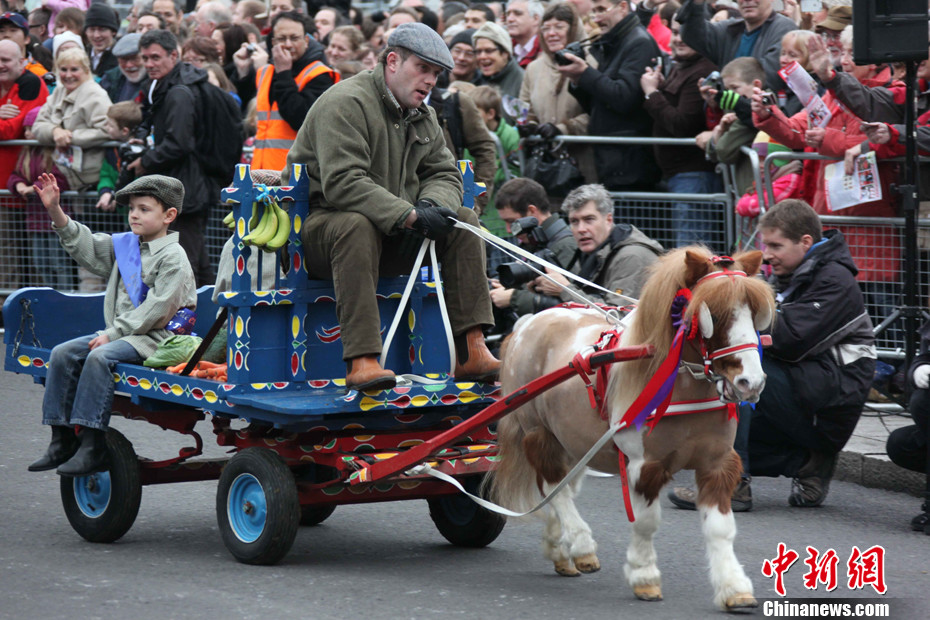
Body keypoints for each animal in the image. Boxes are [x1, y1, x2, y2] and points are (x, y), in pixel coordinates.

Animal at [492, 247, 776, 612]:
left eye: (755, 313)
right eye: (712, 314)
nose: (750, 382)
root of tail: (527, 323)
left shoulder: (717, 463)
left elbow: (721, 528)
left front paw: (734, 587)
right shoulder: (646, 465)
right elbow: (646, 522)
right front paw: (644, 577)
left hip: (572, 443)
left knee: (558, 489)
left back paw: (560, 549)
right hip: (537, 432)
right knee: (553, 484)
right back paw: (581, 544)